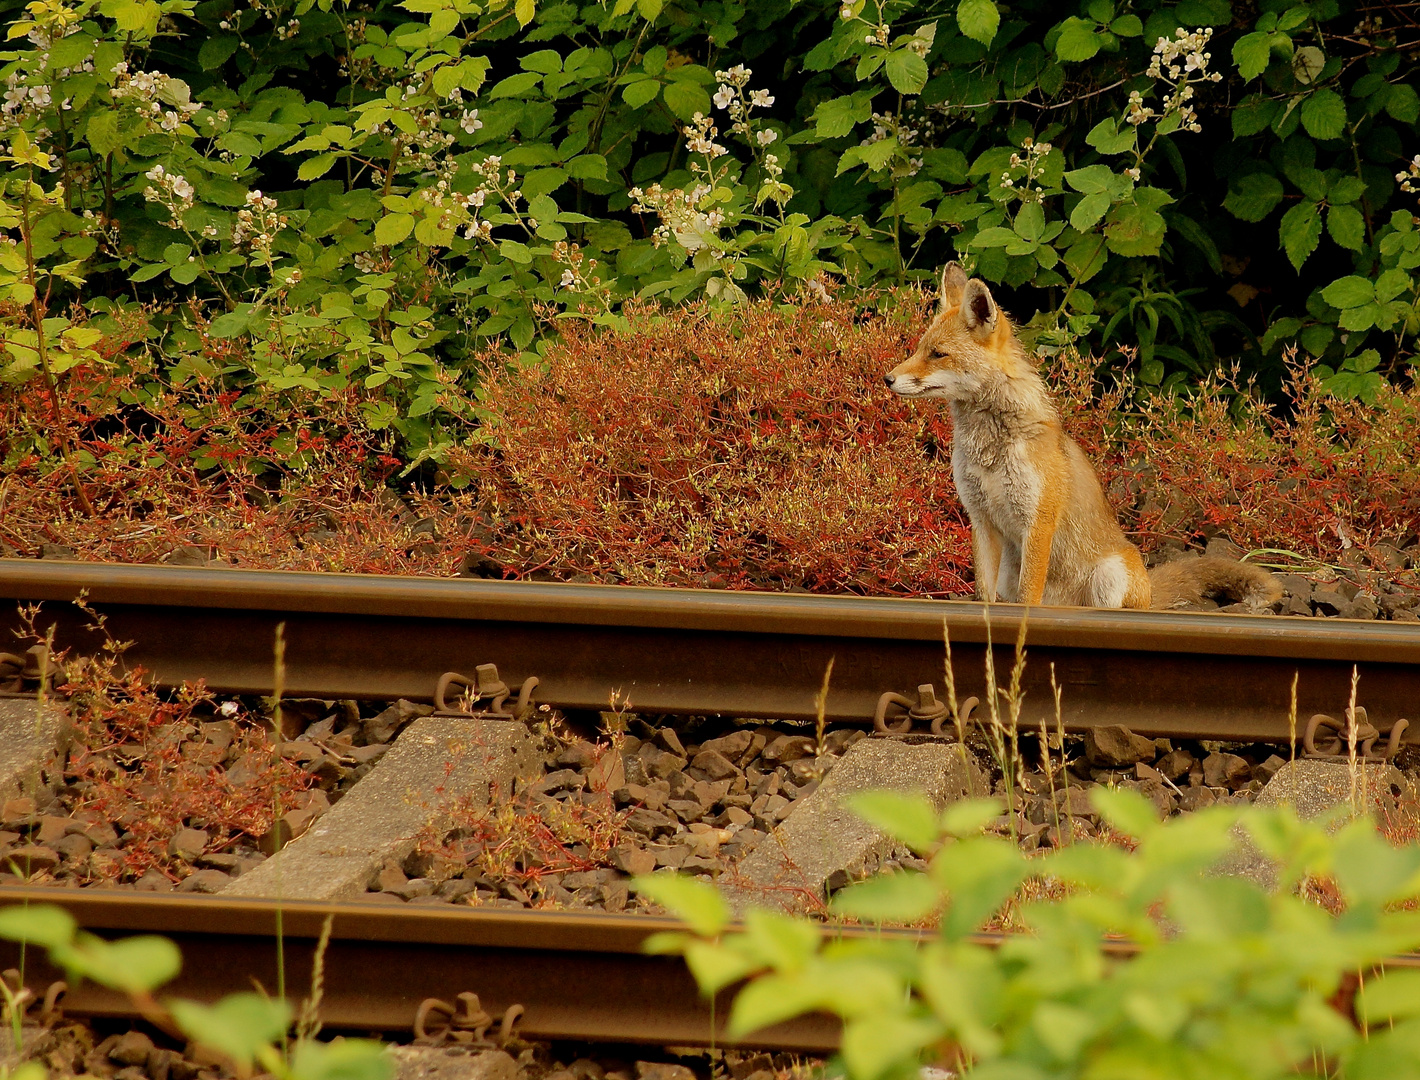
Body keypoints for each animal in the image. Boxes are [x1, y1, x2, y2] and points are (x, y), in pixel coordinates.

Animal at [880, 262, 1283, 610]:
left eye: (938, 354)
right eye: (920, 349)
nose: (888, 379)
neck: (991, 447)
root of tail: (1150, 592)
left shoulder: (1038, 520)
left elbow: (1029, 598)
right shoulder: (982, 520)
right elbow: (984, 597)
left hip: (1109, 578)